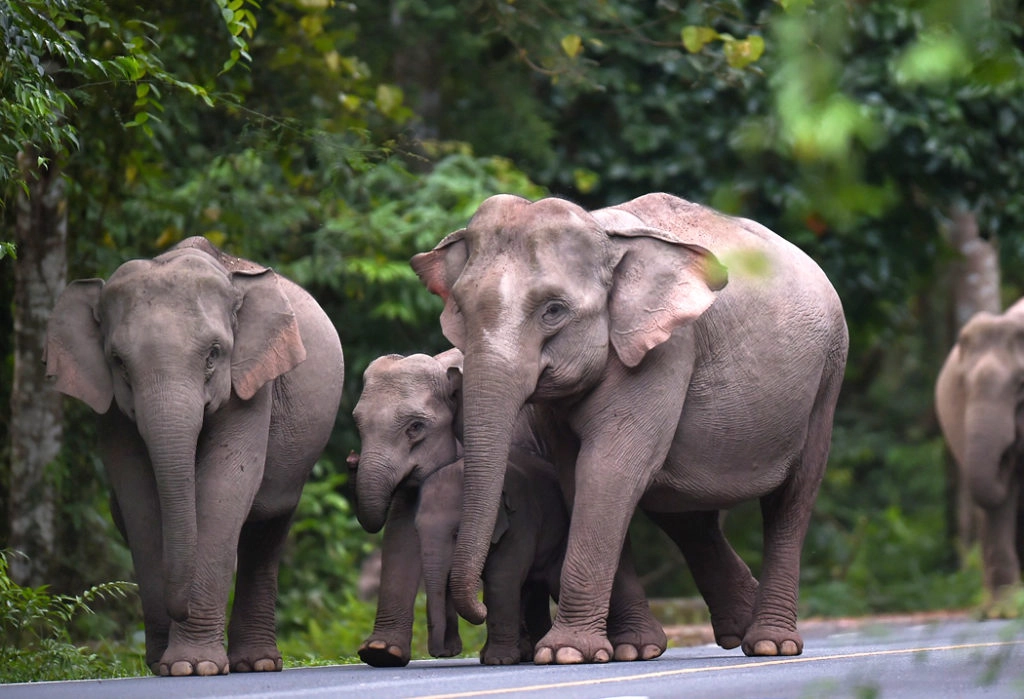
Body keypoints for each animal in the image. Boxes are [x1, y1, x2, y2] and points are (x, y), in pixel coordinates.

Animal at [44, 237, 344, 676]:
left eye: (213, 354)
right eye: (119, 363)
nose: (179, 611)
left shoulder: (252, 384)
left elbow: (225, 485)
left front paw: (193, 666)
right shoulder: (112, 408)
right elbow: (138, 494)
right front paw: (170, 665)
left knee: (267, 530)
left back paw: (258, 664)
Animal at [416, 451, 568, 665]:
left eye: (457, 533)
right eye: (416, 531)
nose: (442, 653)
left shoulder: (520, 523)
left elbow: (502, 578)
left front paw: (499, 661)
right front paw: (489, 657)